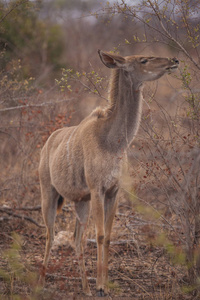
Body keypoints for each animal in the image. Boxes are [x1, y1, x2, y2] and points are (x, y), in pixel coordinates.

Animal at [38, 50, 179, 296]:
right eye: (143, 60)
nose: (173, 61)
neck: (112, 143)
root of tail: (47, 145)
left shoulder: (113, 191)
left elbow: (108, 237)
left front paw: (102, 285)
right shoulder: (97, 189)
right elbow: (100, 235)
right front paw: (101, 287)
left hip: (80, 201)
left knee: (76, 239)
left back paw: (85, 288)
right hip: (49, 193)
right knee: (50, 234)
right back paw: (42, 282)